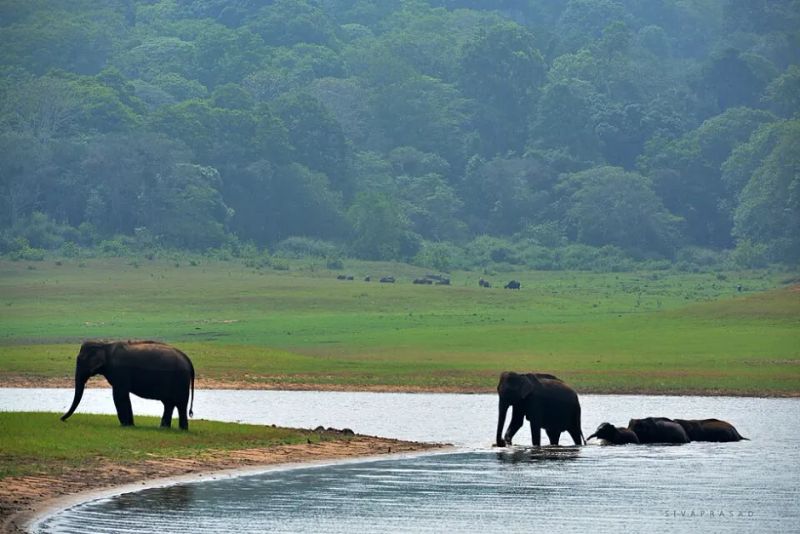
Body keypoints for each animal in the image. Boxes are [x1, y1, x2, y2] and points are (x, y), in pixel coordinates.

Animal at [61, 340, 195, 430]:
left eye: (80, 360)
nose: (61, 419)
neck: (104, 345)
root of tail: (188, 360)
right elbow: (123, 396)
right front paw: (130, 425)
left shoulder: (119, 371)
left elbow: (119, 395)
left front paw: (125, 425)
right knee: (169, 403)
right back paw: (164, 428)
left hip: (180, 379)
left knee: (180, 404)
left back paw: (182, 429)